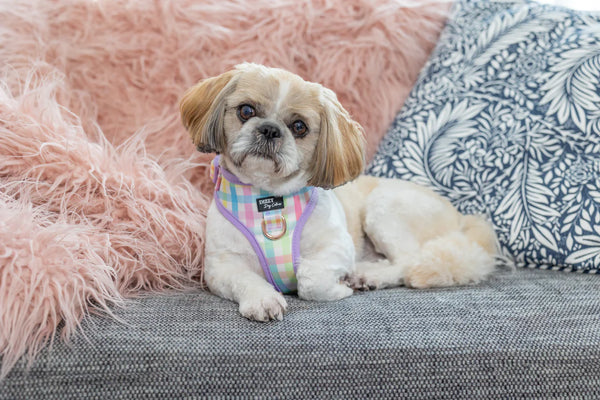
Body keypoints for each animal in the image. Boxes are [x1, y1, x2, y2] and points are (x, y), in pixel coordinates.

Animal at [179, 64, 496, 324]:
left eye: (299, 127)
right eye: (246, 111)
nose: (269, 130)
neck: (266, 200)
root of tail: (462, 219)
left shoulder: (338, 247)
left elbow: (310, 279)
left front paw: (338, 288)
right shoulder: (220, 266)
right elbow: (245, 279)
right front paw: (263, 299)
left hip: (384, 207)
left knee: (408, 260)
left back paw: (368, 275)